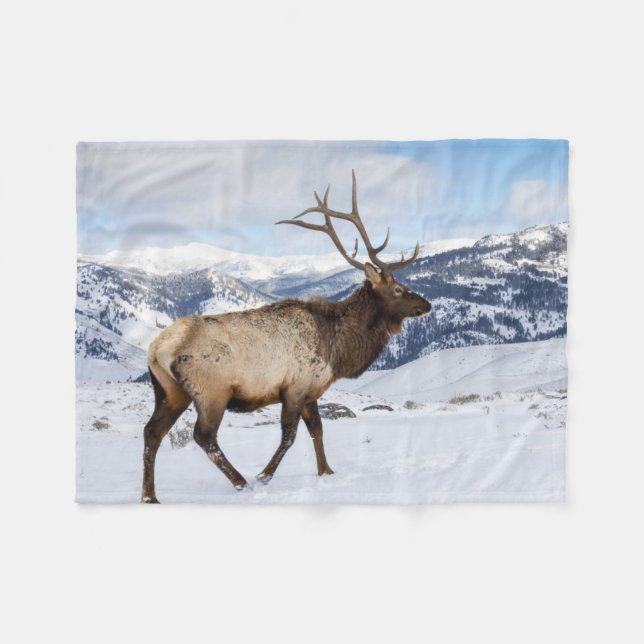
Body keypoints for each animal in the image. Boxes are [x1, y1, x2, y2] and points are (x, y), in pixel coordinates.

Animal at [141, 171, 431, 502]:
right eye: (398, 289)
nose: (426, 304)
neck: (338, 350)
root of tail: (158, 348)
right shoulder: (294, 388)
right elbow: (290, 436)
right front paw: (264, 475)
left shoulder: (311, 391)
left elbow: (317, 429)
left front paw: (326, 471)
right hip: (211, 390)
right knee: (203, 436)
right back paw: (240, 481)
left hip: (169, 391)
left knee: (152, 432)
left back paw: (149, 495)